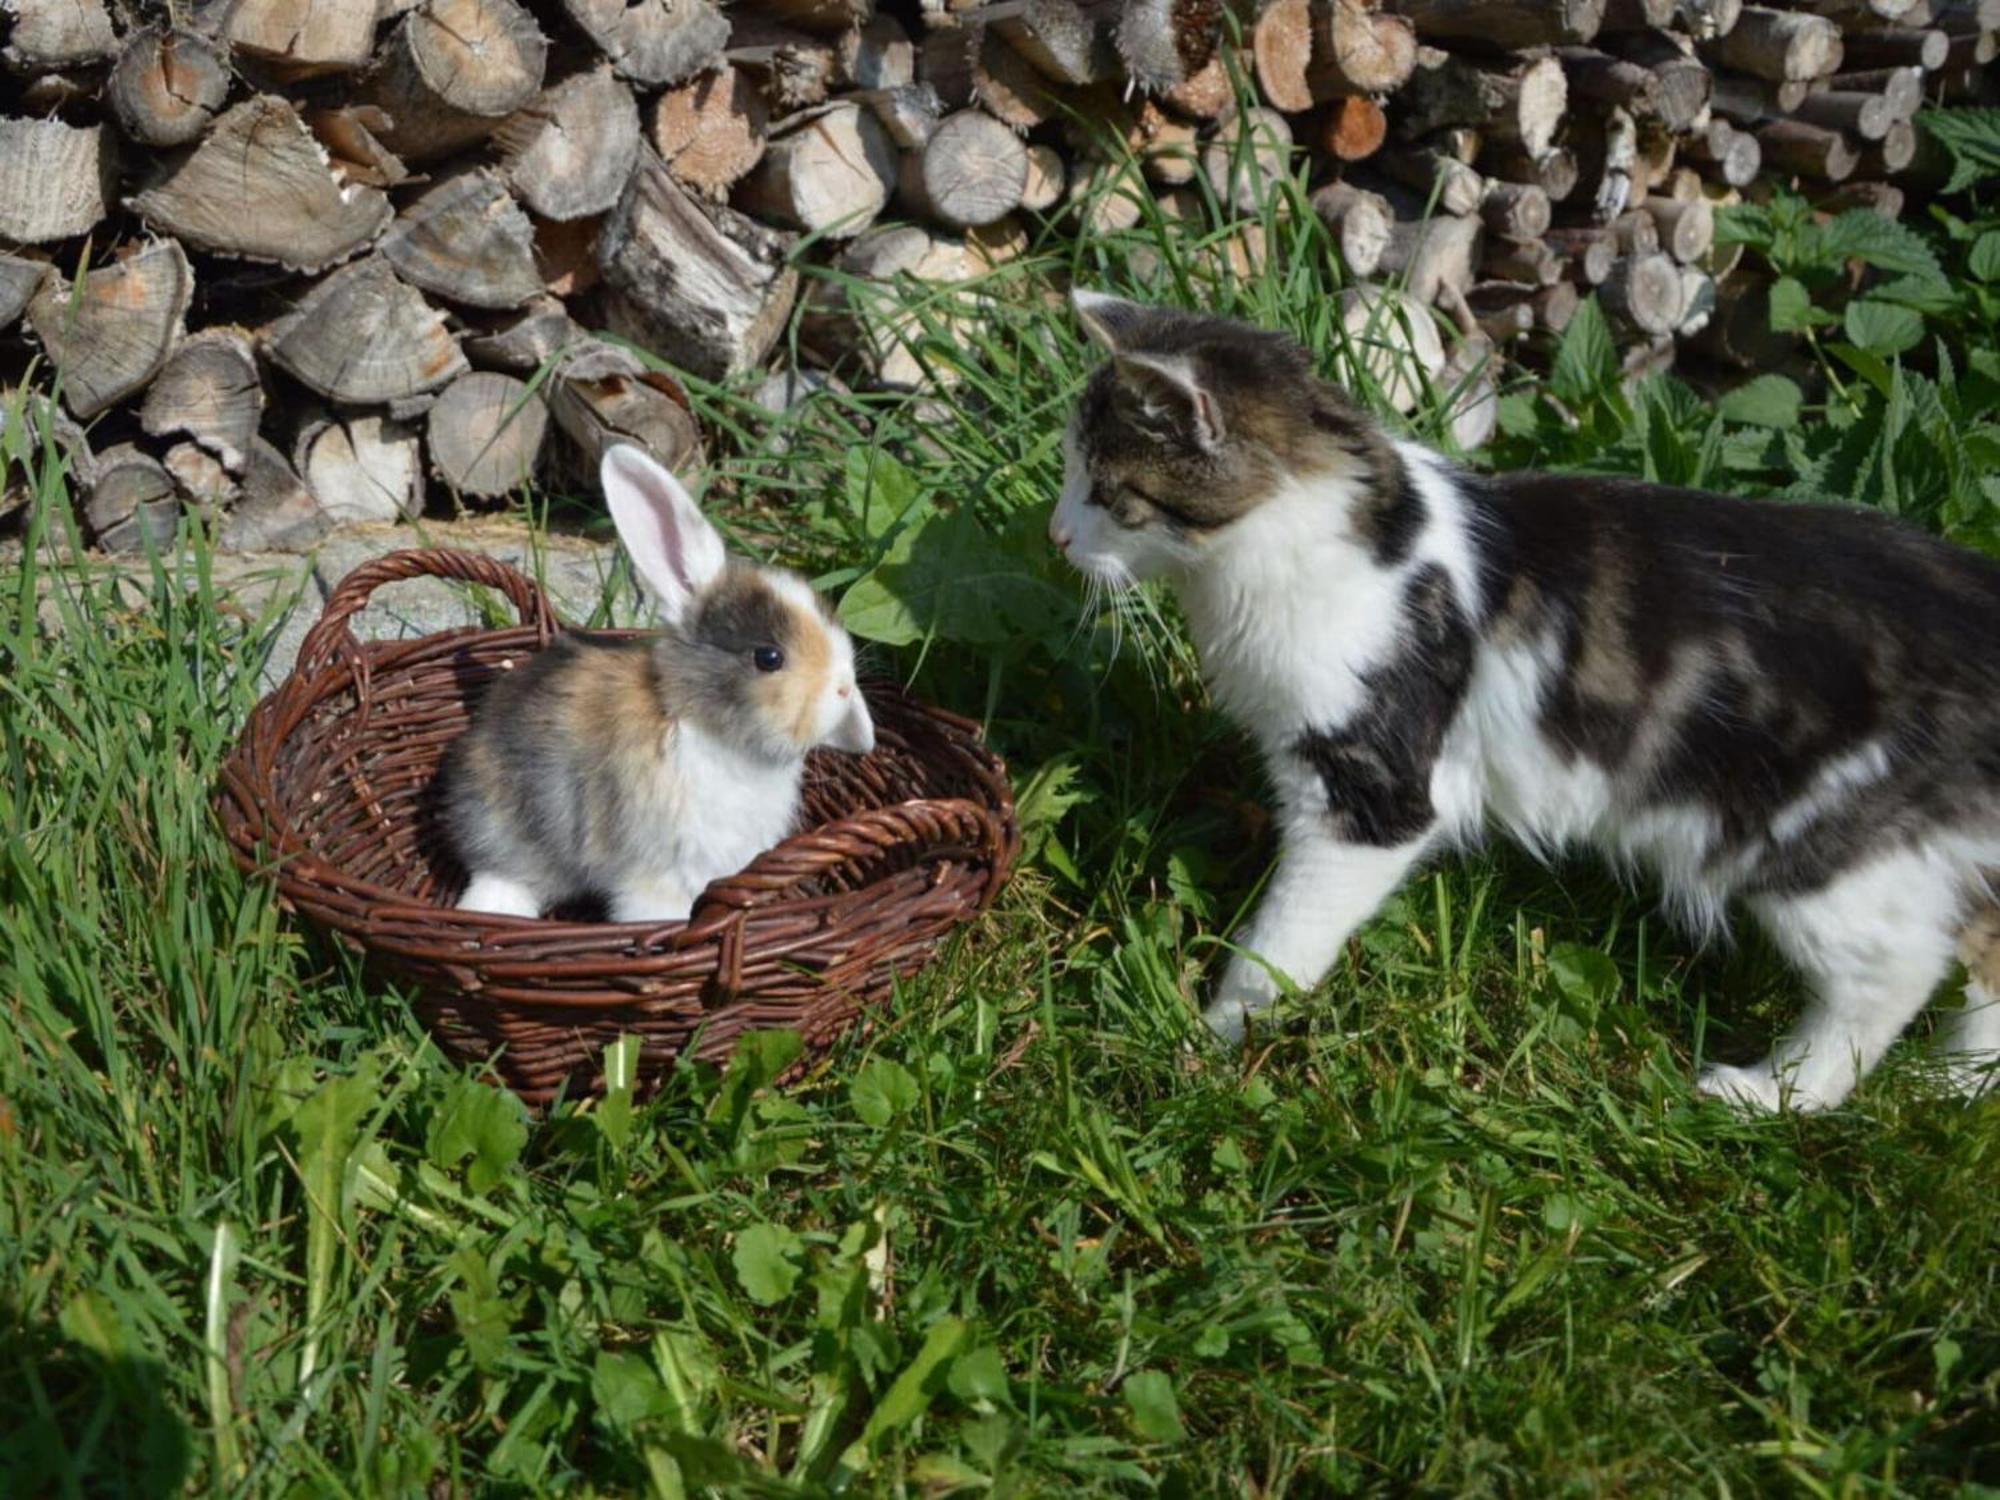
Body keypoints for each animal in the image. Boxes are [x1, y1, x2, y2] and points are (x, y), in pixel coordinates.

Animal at [438, 440, 876, 924]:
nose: (843, 687)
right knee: (504, 875)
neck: (703, 727)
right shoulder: (660, 874)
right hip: (507, 829)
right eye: (769, 657)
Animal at [1048, 294, 2000, 1120]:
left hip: (1811, 852)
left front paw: (1205, 1040)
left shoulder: (1371, 795)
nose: (1055, 536)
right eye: (1070, 472)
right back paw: (1954, 1087)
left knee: (1895, 974)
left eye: (1106, 491)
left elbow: (1279, 944)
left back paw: (1771, 1095)